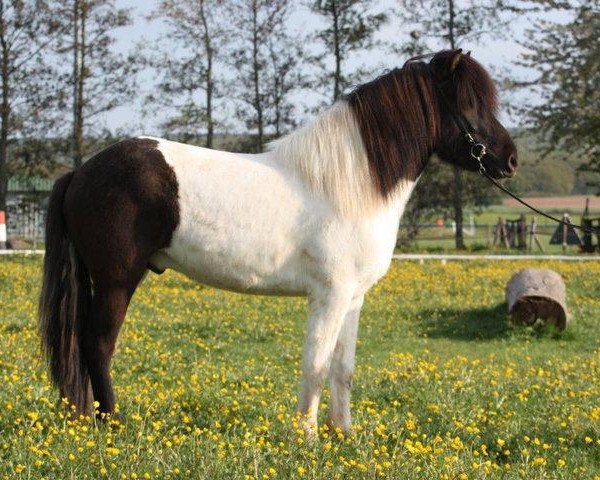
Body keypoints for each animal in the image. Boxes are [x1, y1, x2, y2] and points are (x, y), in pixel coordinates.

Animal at [37, 49, 516, 436]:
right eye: (469, 103)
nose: (510, 160)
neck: (347, 187)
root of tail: (79, 172)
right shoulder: (329, 296)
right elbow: (316, 366)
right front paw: (307, 437)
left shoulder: (353, 298)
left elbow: (343, 368)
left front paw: (344, 434)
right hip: (117, 280)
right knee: (98, 345)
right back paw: (112, 424)